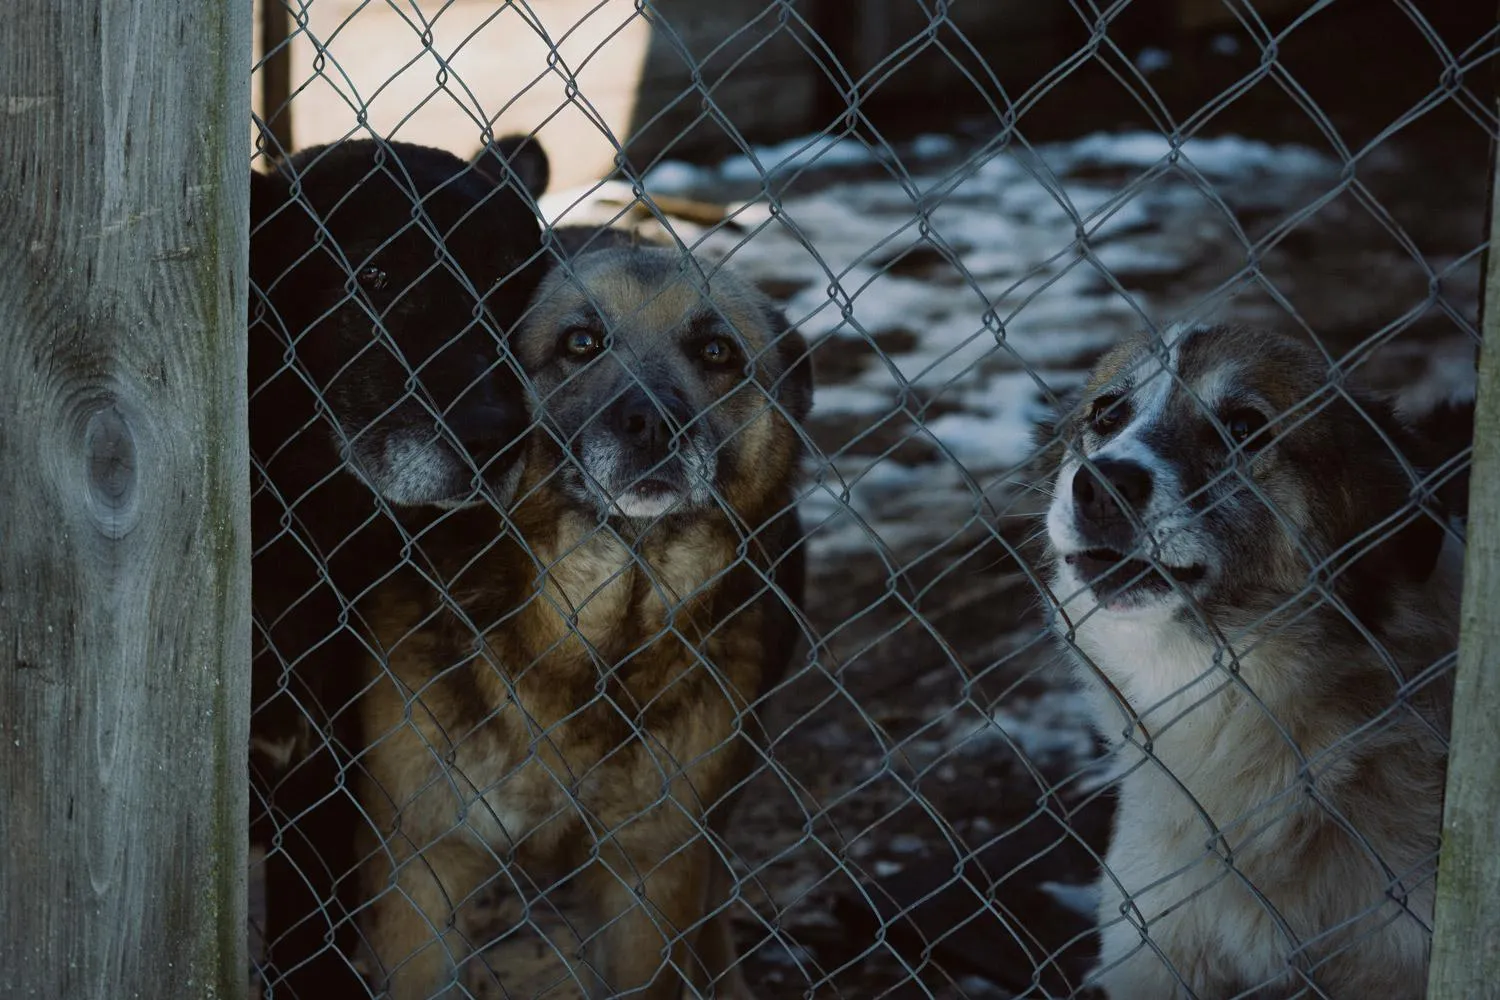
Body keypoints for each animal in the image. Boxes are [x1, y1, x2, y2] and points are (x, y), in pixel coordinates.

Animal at [351, 244, 816, 1000]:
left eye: (717, 351)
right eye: (580, 342)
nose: (655, 424)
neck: (587, 637)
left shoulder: (651, 878)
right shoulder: (420, 869)